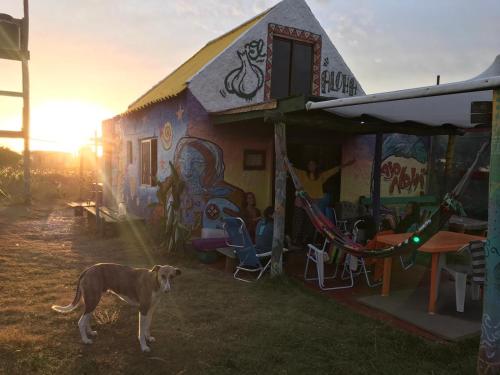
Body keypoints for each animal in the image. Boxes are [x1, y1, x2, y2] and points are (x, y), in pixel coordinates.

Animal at [51, 264, 181, 352]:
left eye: (172, 277)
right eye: (162, 276)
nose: (167, 290)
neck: (153, 281)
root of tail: (88, 269)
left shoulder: (150, 310)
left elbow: (147, 327)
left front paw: (148, 338)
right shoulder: (143, 309)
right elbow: (141, 330)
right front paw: (143, 346)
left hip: (92, 301)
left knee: (86, 319)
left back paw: (90, 333)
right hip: (93, 300)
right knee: (81, 322)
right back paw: (85, 340)